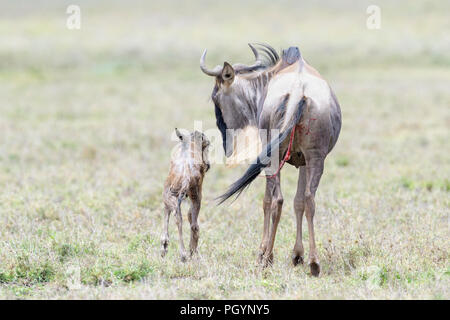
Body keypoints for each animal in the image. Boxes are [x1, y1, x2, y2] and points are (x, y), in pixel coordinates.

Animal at [162, 129, 211, 262]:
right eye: (207, 145)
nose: (207, 165)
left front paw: (164, 246)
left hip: (173, 195)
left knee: (178, 218)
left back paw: (180, 253)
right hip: (195, 196)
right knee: (193, 224)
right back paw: (191, 253)